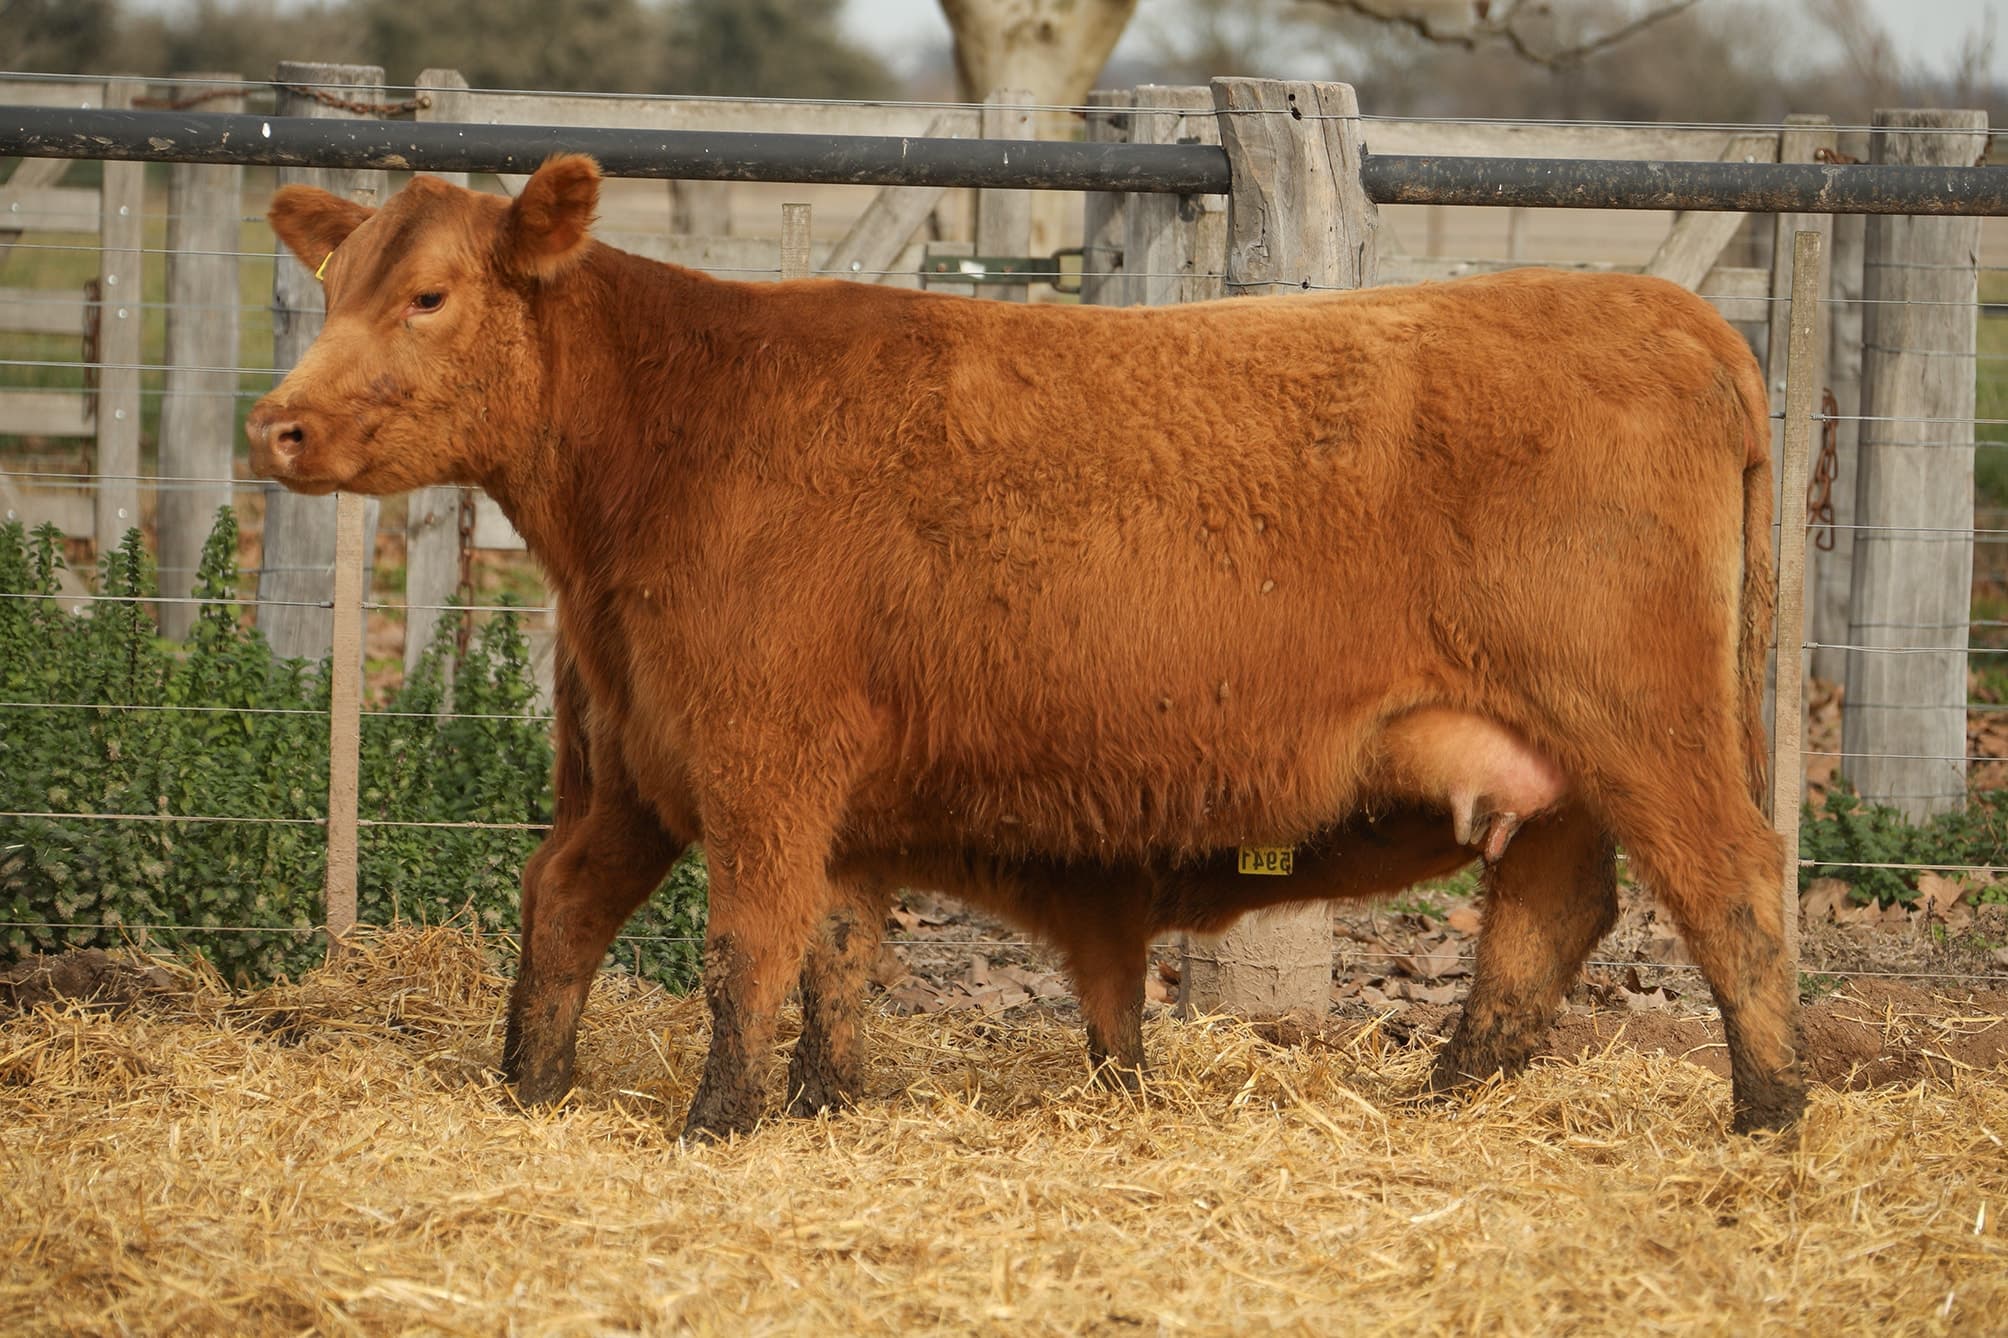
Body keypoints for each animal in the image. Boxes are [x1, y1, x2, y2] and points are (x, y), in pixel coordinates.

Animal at [247, 155, 1802, 1141]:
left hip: (1644, 718)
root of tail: (1675, 315)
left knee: (1731, 879)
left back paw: (1770, 1114)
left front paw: (718, 1123)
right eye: (329, 291)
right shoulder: (682, 764)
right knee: (1550, 912)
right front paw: (775, 1102)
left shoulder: (762, 763)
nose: (277, 424)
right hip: (1560, 756)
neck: (671, 442)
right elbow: (793, 942)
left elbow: (750, 945)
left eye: (430, 296)